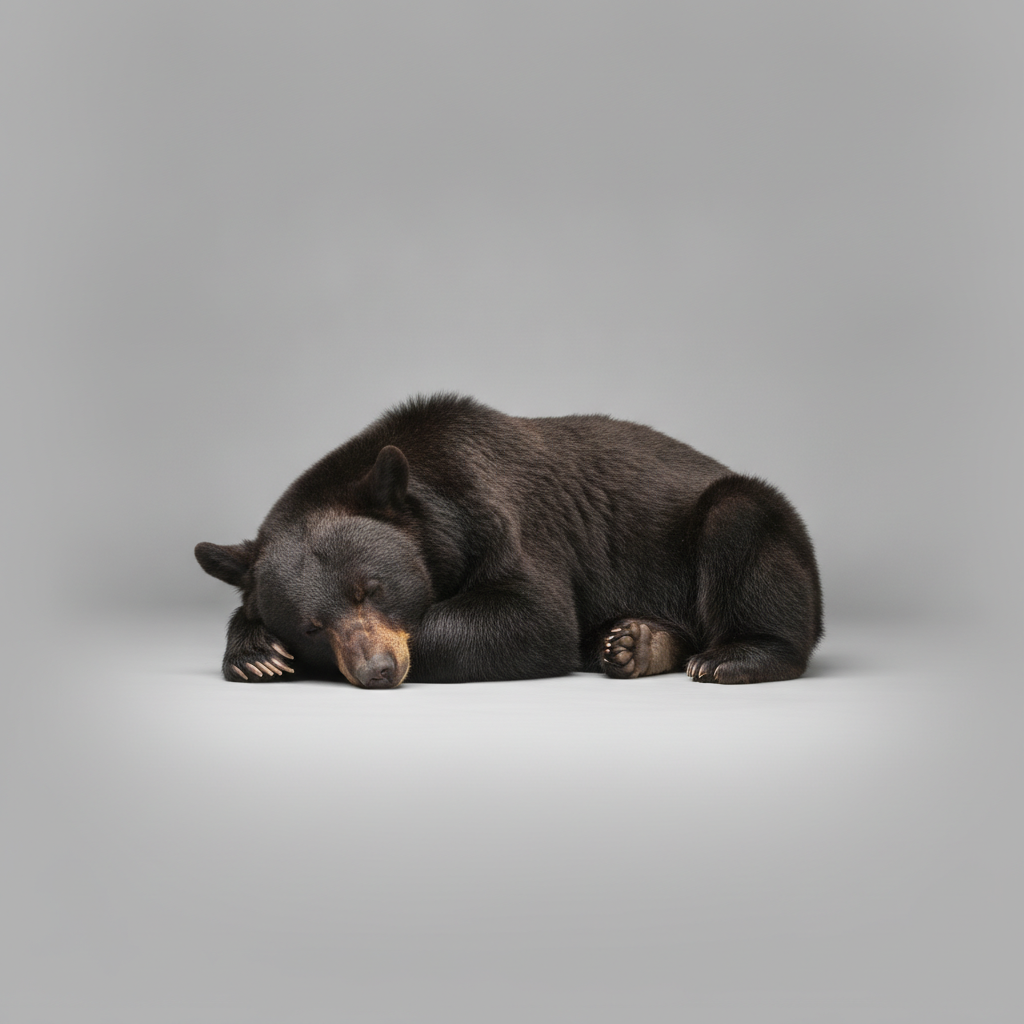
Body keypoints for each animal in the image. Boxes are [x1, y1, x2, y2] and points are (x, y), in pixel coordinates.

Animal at [195, 394, 823, 688]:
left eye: (370, 590)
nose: (378, 669)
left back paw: (732, 656)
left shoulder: (501, 513)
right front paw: (256, 653)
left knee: (742, 527)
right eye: (311, 628)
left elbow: (534, 615)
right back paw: (637, 643)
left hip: (734, 523)